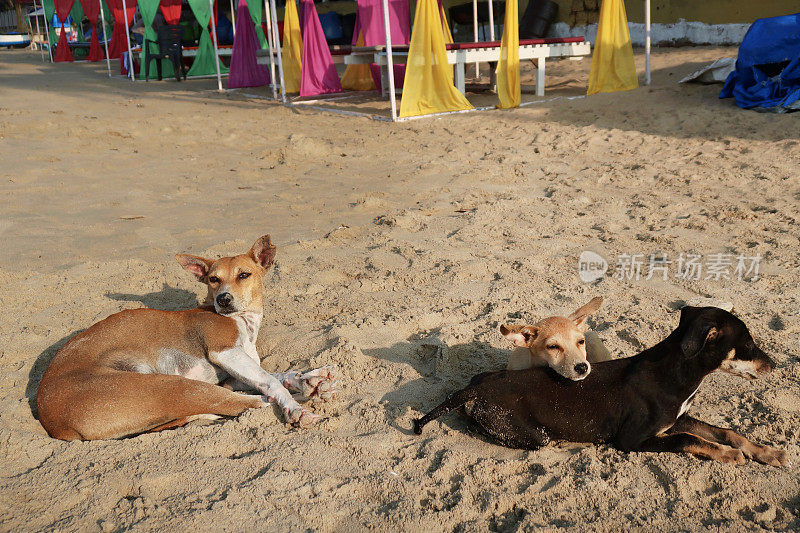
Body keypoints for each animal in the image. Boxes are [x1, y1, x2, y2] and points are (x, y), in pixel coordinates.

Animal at [416, 308, 792, 466]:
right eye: (748, 345)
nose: (774, 365)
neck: (670, 373)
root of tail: (470, 391)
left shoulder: (676, 418)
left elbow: (726, 431)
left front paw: (766, 452)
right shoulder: (632, 440)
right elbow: (688, 440)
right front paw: (730, 455)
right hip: (534, 435)